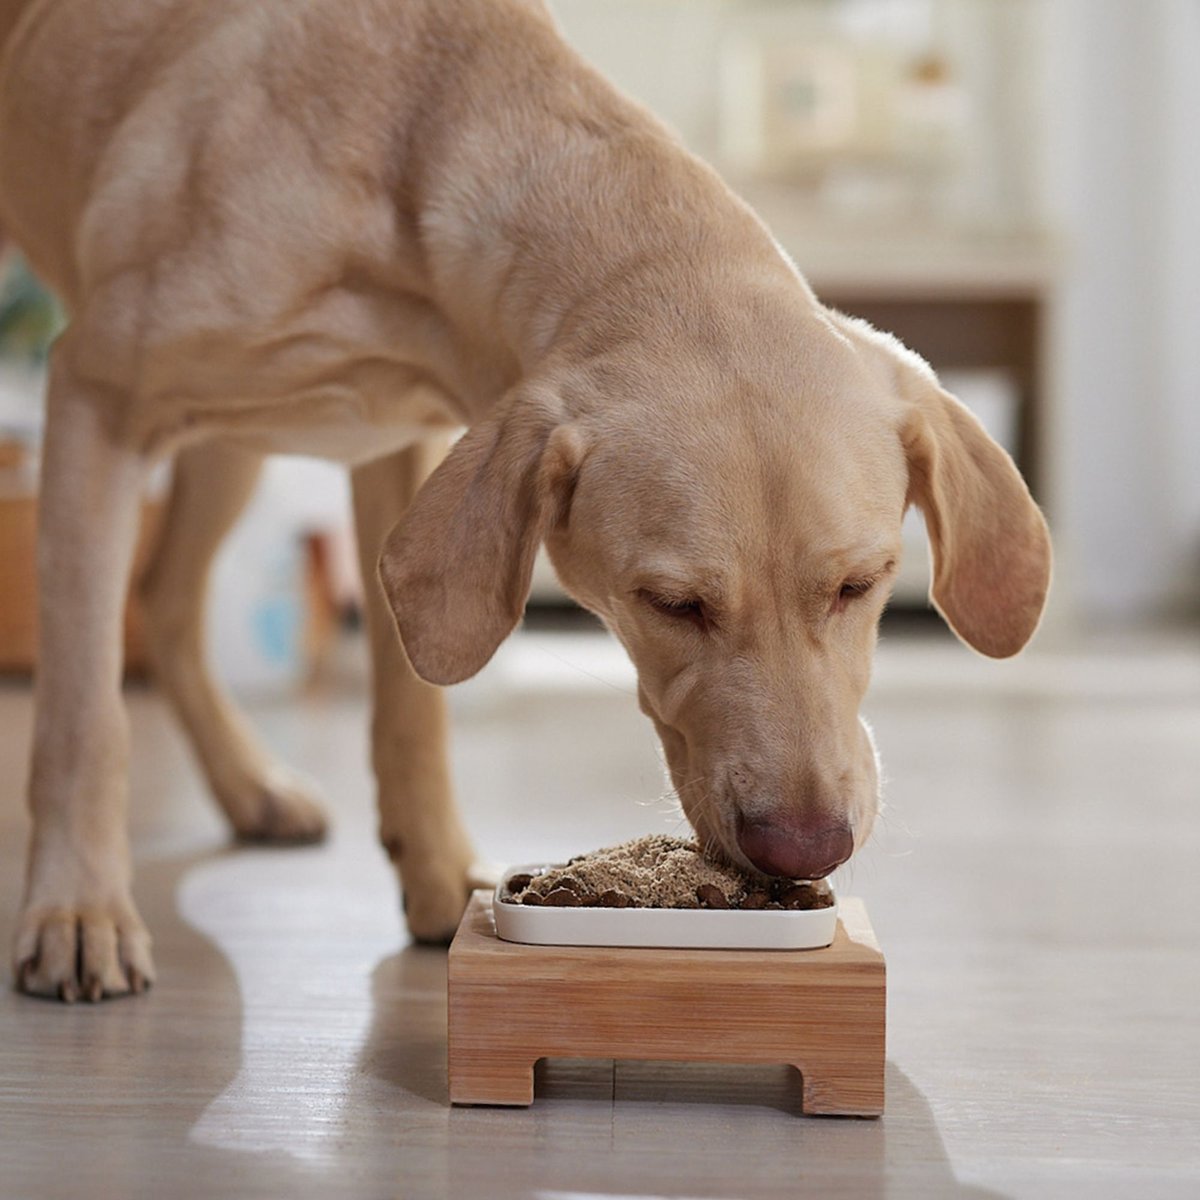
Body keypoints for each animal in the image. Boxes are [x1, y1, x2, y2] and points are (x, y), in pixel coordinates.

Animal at [0, 0, 1051, 1003]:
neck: (416, 139)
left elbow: (410, 707)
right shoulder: (95, 399)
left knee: (167, 599)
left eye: (861, 585)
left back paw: (247, 784)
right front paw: (79, 907)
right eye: (672, 605)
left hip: (236, 446)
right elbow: (84, 719)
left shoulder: (406, 451)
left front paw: (435, 879)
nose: (805, 847)